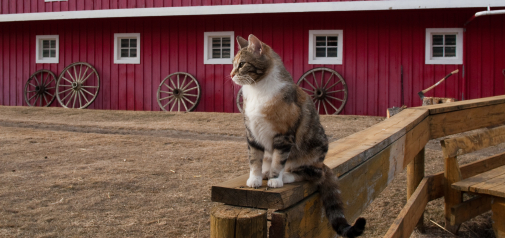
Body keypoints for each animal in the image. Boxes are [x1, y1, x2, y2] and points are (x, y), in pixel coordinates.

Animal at [229, 34, 366, 237]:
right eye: (233, 64)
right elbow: (254, 158)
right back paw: (266, 172)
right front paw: (255, 179)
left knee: (311, 174)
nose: (231, 74)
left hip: (314, 150)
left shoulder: (284, 135)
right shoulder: (252, 133)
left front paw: (275, 179)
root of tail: (322, 164)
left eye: (242, 64)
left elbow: (279, 160)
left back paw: (285, 176)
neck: (258, 90)